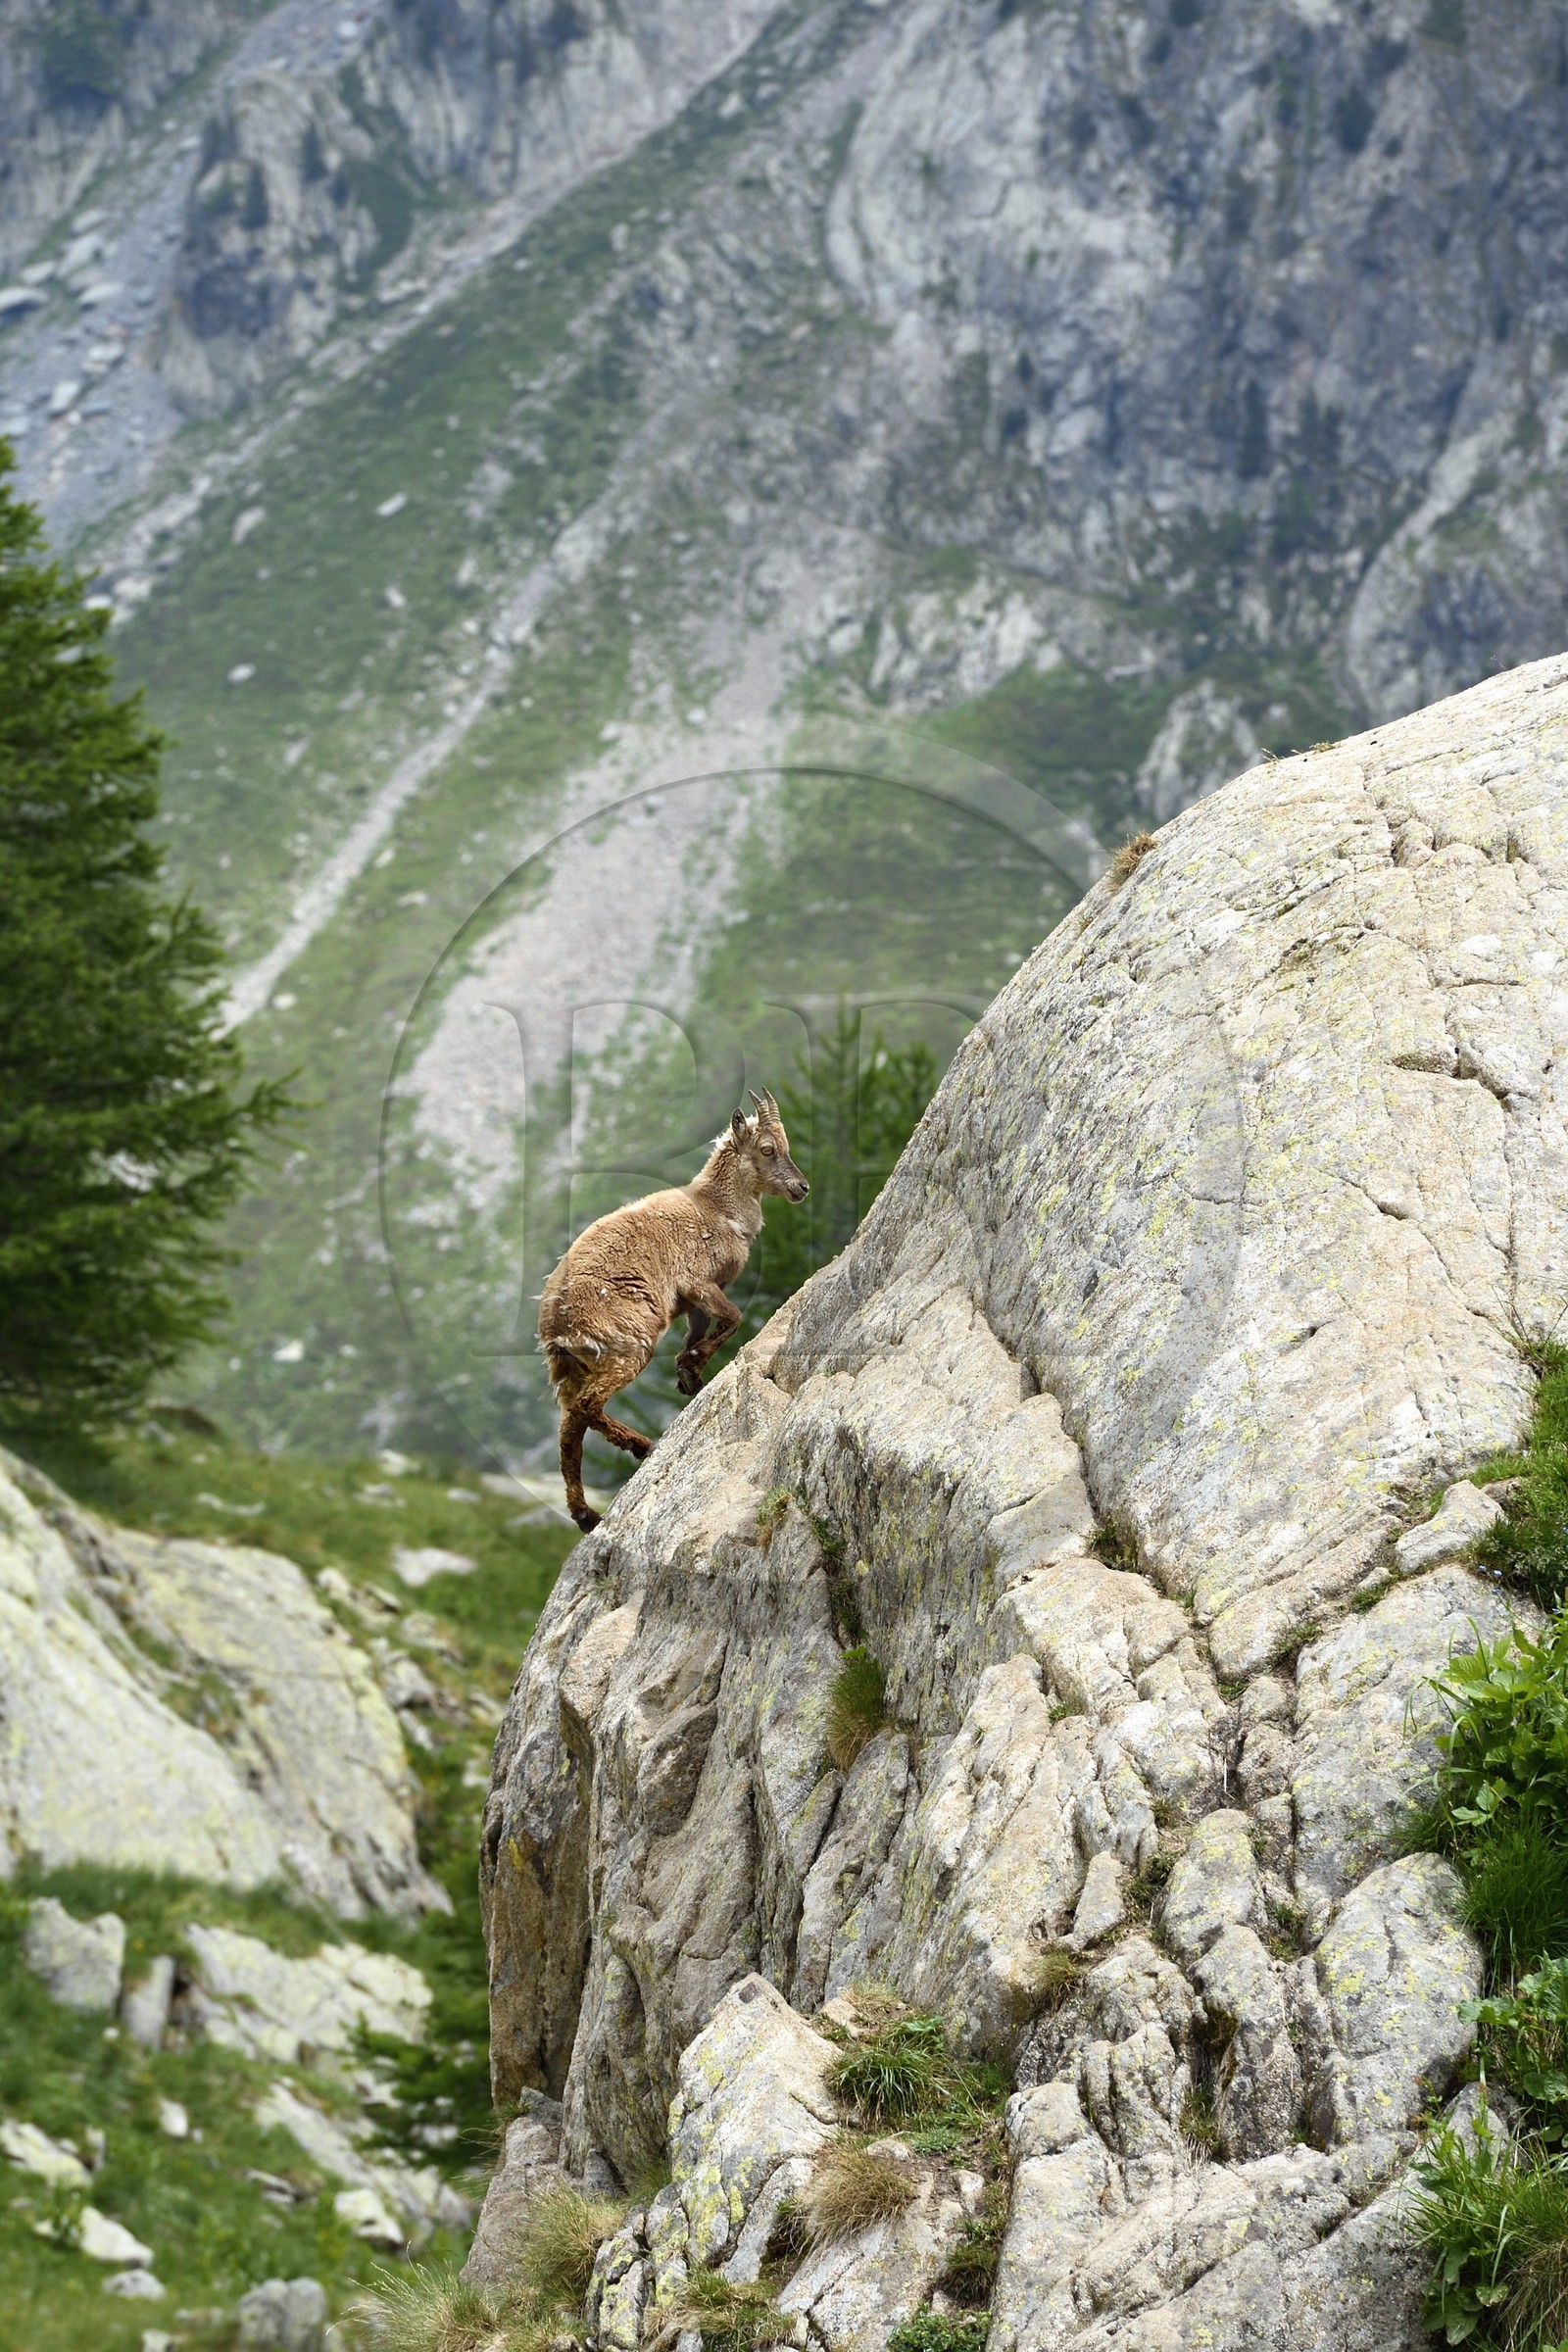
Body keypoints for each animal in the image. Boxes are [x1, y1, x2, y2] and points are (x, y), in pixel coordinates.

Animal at [539, 1089, 809, 1531]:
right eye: (768, 1149)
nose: (801, 1188)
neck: (717, 1210)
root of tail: (555, 1323)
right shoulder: (699, 1283)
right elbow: (732, 1318)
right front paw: (691, 1365)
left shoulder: (693, 1302)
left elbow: (702, 1328)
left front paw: (688, 1372)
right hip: (628, 1344)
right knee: (585, 1407)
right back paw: (641, 1446)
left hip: (573, 1368)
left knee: (568, 1431)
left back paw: (585, 1513)